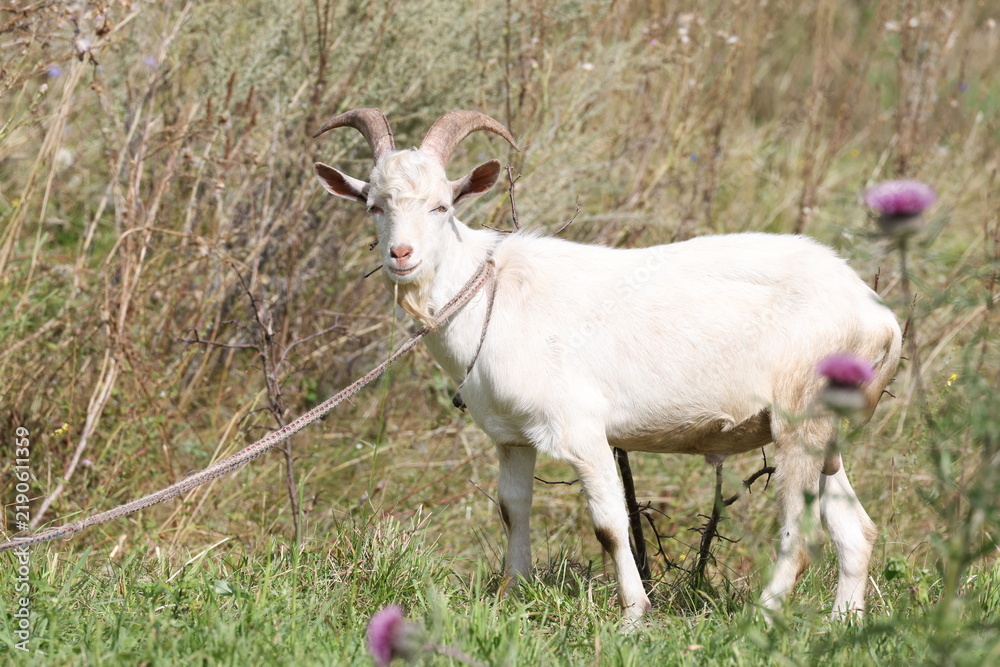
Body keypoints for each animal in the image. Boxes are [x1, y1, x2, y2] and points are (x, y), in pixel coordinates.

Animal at [313, 108, 902, 621]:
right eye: (373, 206)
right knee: (857, 530)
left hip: (801, 416)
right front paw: (511, 595)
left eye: (441, 207)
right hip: (827, 433)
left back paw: (761, 619)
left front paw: (634, 615)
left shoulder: (581, 429)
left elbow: (611, 525)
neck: (492, 294)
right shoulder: (511, 436)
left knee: (800, 536)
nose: (401, 255)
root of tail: (879, 316)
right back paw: (844, 622)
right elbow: (512, 509)